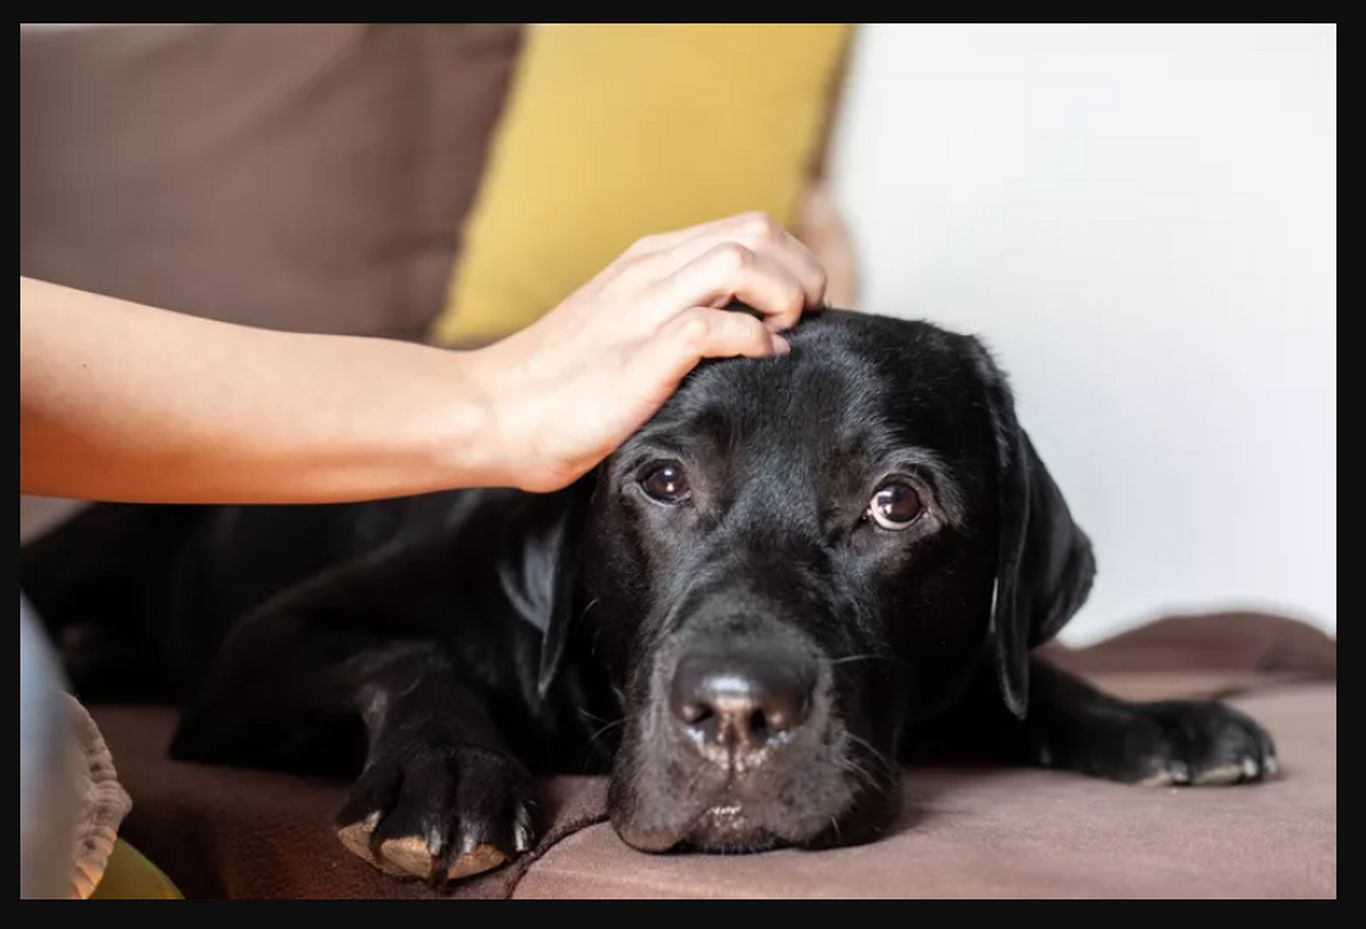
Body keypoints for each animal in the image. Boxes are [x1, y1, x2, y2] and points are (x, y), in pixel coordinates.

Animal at [21, 308, 1278, 879]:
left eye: (897, 502)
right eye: (663, 480)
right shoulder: (267, 642)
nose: (734, 714)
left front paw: (1156, 718)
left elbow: (1015, 677)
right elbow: (407, 653)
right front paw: (449, 777)